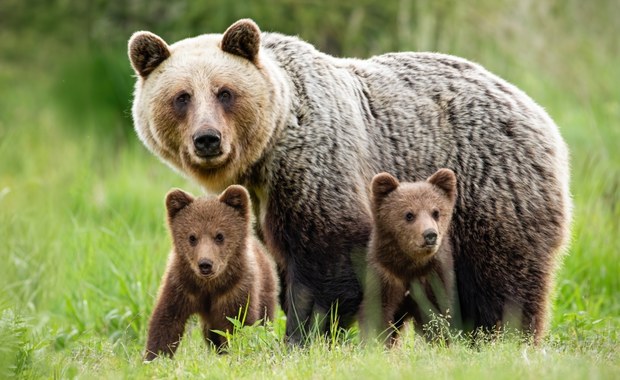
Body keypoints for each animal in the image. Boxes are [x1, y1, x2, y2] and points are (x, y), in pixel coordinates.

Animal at [144, 186, 278, 360]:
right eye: (192, 237)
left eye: (219, 235)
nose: (205, 264)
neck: (209, 286)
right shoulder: (181, 286)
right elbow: (166, 321)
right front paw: (155, 357)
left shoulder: (236, 290)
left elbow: (239, 324)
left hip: (265, 289)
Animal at [364, 168, 456, 344]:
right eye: (409, 214)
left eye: (436, 212)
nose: (430, 235)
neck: (409, 267)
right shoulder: (386, 276)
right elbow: (379, 314)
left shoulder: (432, 278)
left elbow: (437, 315)